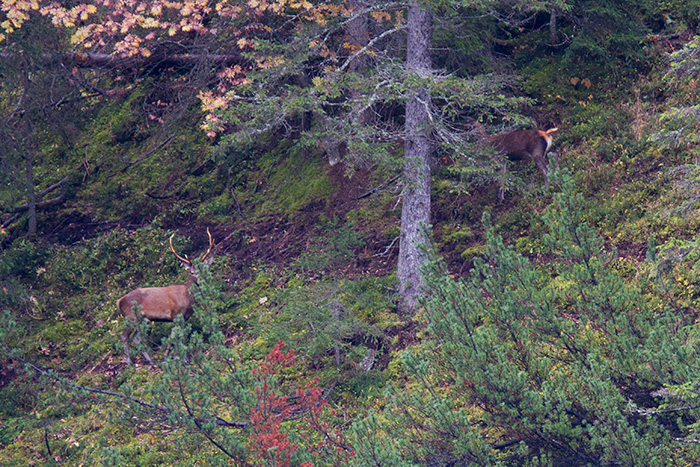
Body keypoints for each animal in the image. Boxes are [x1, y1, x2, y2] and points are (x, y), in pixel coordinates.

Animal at [117, 230, 213, 366]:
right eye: (192, 272)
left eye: (204, 268)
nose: (200, 281)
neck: (188, 299)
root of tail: (120, 301)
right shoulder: (176, 314)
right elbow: (179, 336)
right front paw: (184, 359)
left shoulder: (184, 317)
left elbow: (174, 335)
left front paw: (166, 357)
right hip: (131, 317)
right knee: (124, 336)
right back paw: (129, 363)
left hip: (143, 320)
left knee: (136, 338)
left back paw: (150, 360)